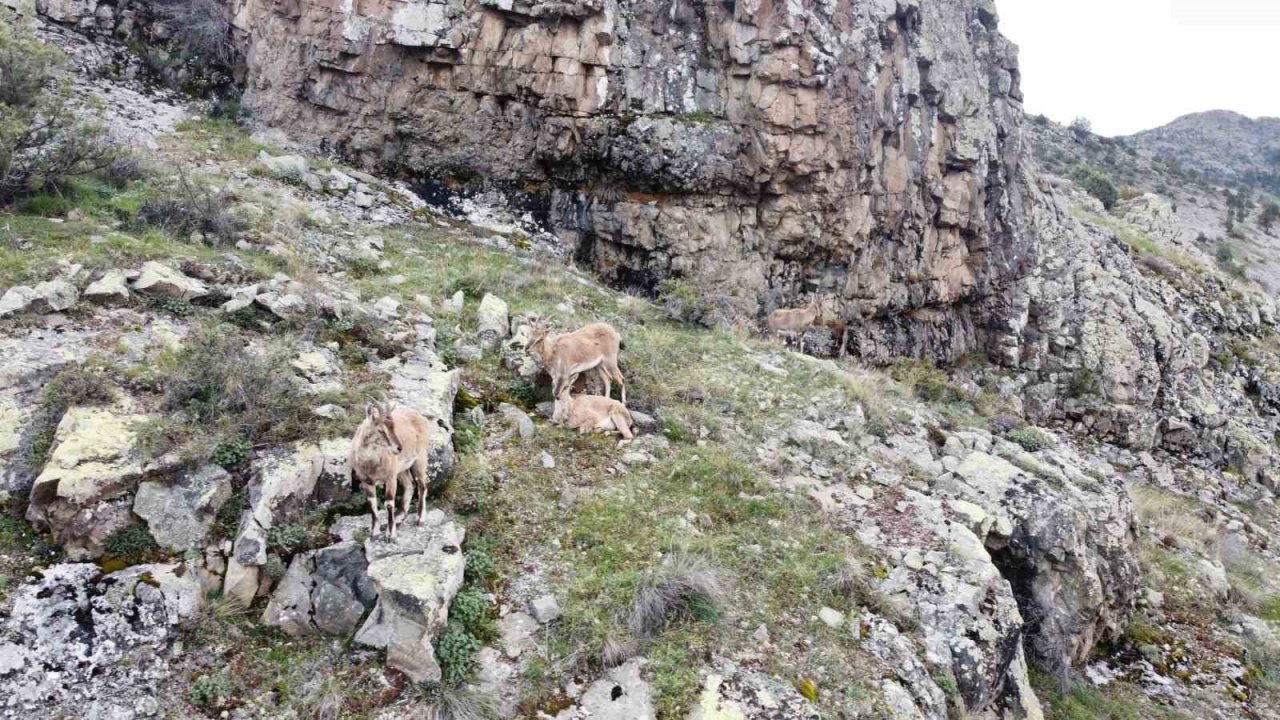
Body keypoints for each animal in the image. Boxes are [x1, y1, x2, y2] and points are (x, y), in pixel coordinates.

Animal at [345, 397, 435, 538]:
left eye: (393, 426)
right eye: (381, 430)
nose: (399, 448)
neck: (370, 463)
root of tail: (421, 417)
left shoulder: (390, 478)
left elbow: (388, 503)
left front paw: (390, 534)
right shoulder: (366, 480)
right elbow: (372, 503)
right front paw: (375, 532)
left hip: (420, 459)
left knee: (422, 487)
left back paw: (420, 519)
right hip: (402, 469)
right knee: (409, 485)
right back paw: (399, 517)